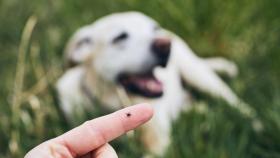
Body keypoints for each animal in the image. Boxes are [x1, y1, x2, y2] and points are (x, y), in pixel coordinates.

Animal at [55, 11, 255, 157]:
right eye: (120, 37)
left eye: (154, 28)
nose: (165, 44)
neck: (115, 102)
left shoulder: (159, 144)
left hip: (199, 75)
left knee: (234, 102)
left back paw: (255, 123)